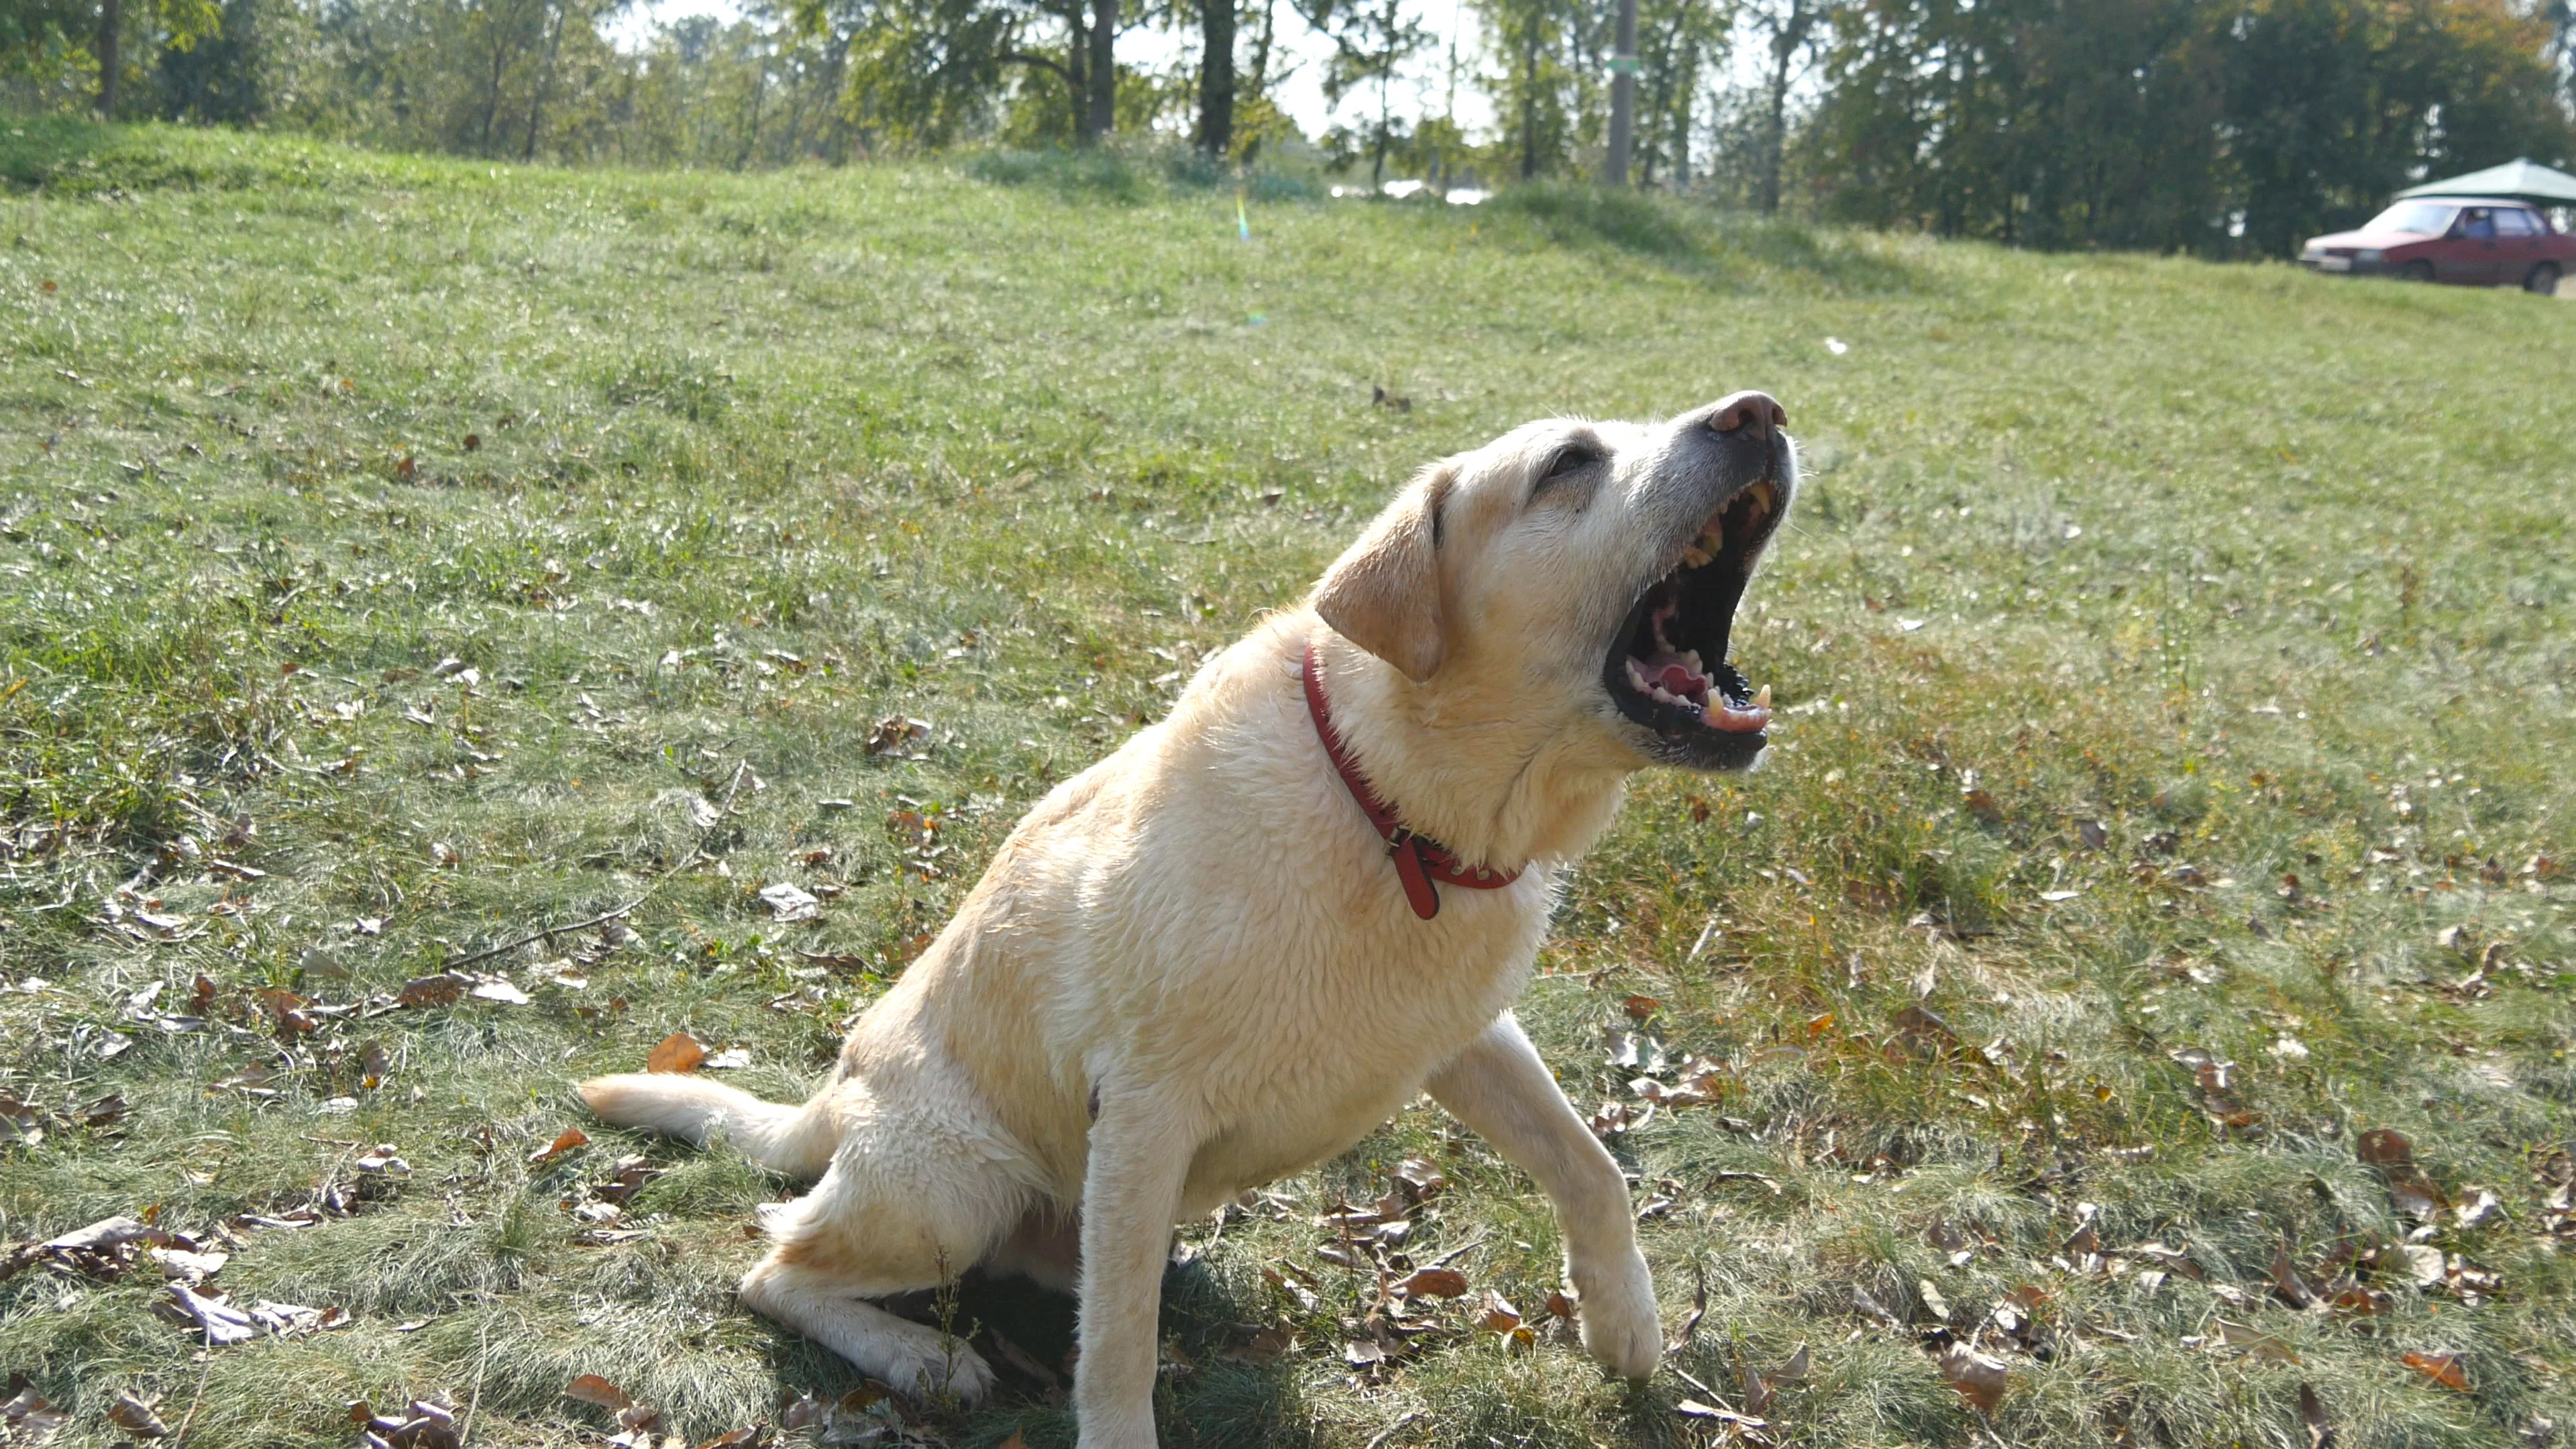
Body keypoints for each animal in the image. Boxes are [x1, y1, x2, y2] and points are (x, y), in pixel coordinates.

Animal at [582, 389, 1792, 1433]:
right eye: (1569, 464)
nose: (1763, 414)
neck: (1390, 812)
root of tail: (829, 1105)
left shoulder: (1465, 1039)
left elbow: (1592, 1167)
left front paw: (1625, 1323)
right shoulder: (1144, 1112)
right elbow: (1117, 1353)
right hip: (955, 1186)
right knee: (772, 1265)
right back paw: (922, 1357)